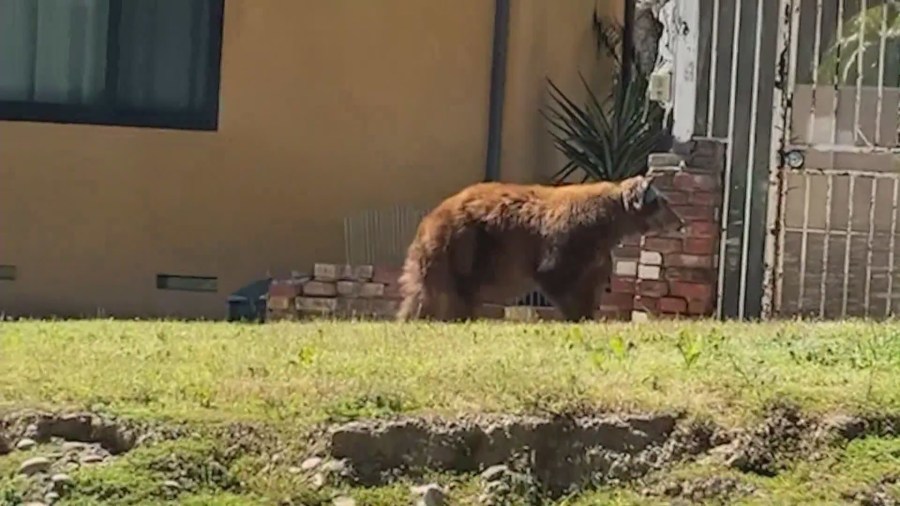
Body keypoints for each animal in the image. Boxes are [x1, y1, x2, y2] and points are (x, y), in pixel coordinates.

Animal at [398, 174, 684, 322]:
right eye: (665, 202)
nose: (681, 222)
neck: (613, 223)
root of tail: (430, 218)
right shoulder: (574, 237)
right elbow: (556, 275)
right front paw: (575, 314)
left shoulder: (597, 251)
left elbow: (591, 283)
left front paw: (589, 313)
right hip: (467, 244)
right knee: (450, 291)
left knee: (423, 292)